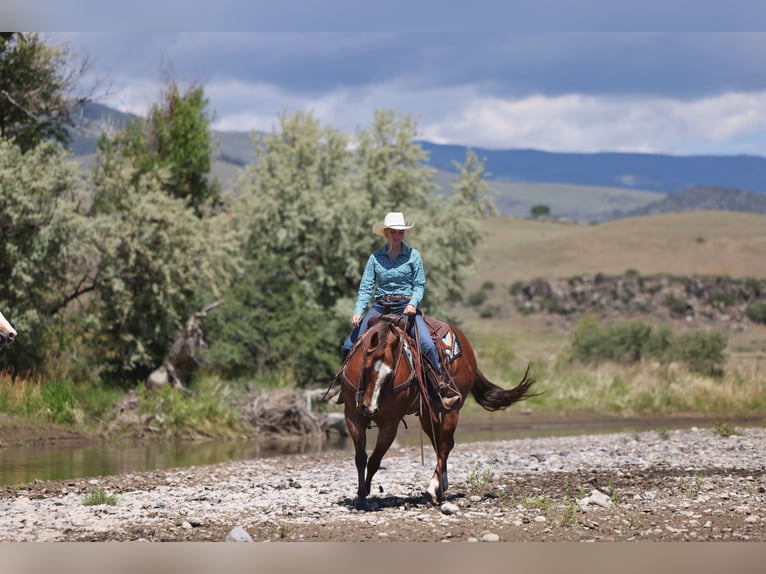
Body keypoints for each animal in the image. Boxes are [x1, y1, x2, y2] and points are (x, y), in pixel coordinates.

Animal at [333, 313, 538, 508]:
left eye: (390, 374)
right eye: (366, 367)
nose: (370, 408)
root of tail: (465, 344)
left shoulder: (391, 423)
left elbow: (375, 459)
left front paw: (366, 491)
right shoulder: (352, 416)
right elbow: (361, 458)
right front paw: (361, 495)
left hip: (452, 409)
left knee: (446, 444)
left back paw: (433, 488)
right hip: (427, 413)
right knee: (439, 442)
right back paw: (441, 485)